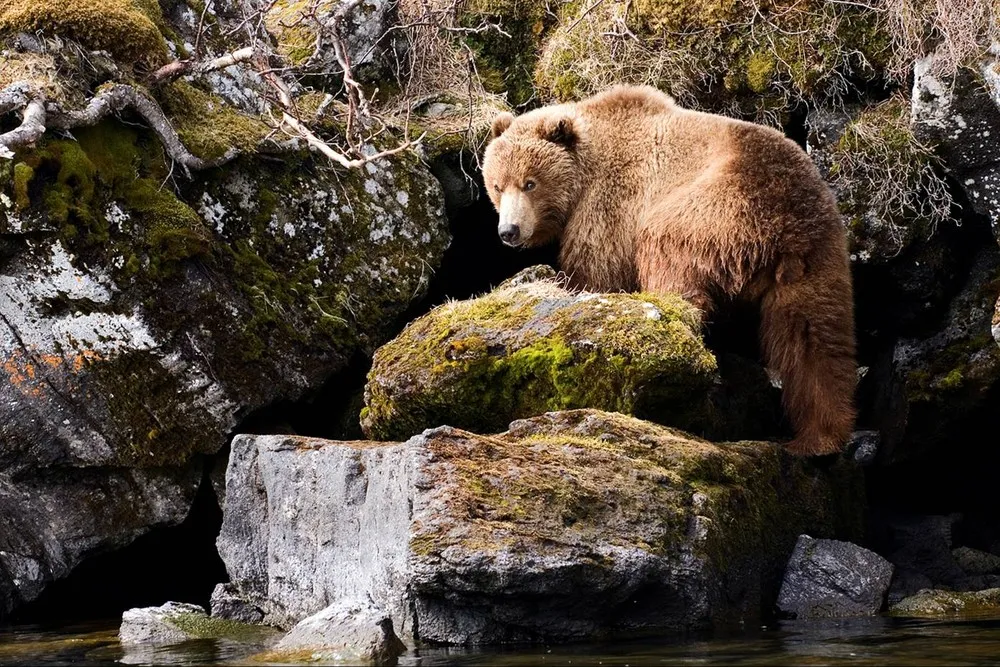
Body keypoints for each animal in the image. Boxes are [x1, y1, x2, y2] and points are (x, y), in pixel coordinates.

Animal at [481, 84, 856, 457]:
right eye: (497, 185)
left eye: (530, 183)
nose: (509, 231)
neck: (585, 173)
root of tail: (780, 227)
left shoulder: (611, 204)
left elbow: (596, 270)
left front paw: (566, 285)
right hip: (818, 254)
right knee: (814, 341)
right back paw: (819, 437)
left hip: (705, 215)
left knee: (671, 266)